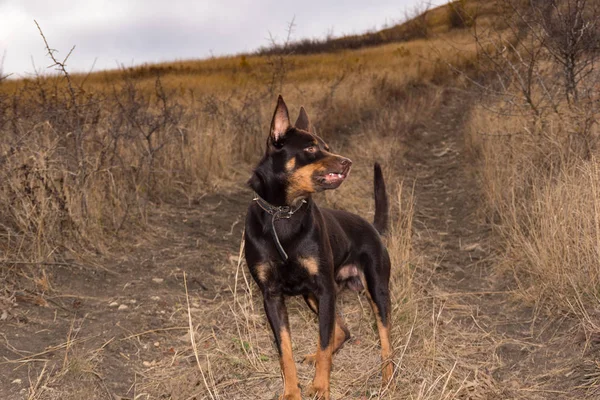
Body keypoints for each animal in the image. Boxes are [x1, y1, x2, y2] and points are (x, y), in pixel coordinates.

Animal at [244, 95, 394, 398]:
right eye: (311, 147)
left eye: (326, 146)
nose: (347, 162)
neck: (283, 214)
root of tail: (372, 227)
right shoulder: (272, 296)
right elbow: (285, 351)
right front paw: (292, 391)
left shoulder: (324, 289)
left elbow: (324, 343)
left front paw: (321, 387)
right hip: (313, 295)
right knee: (343, 332)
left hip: (376, 291)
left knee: (385, 342)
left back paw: (388, 380)